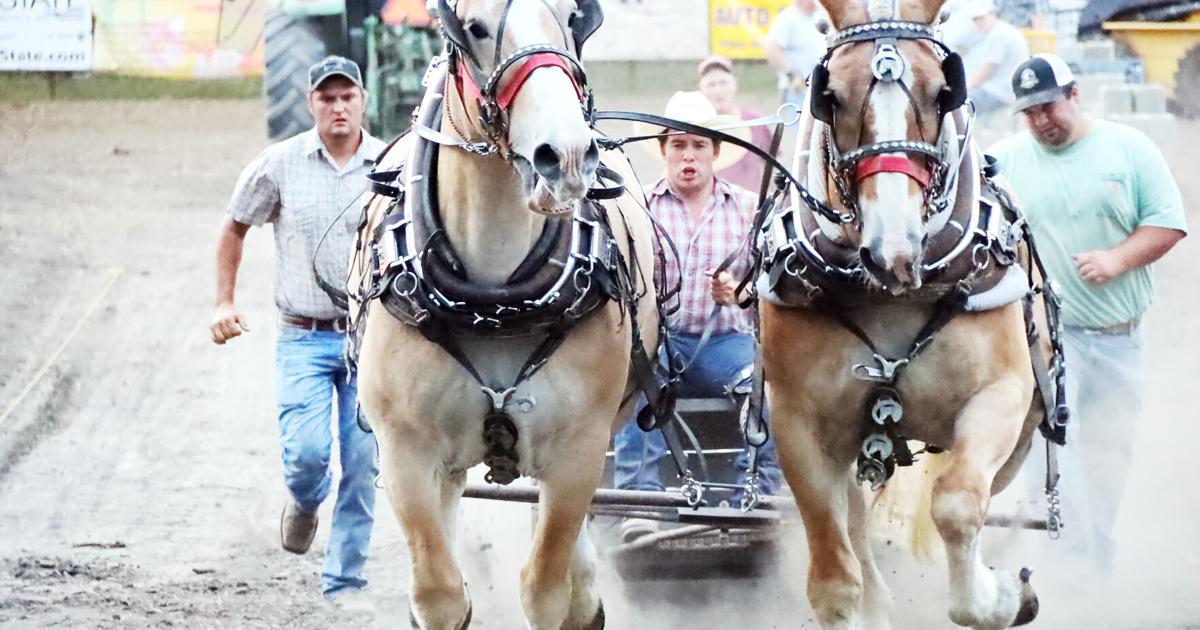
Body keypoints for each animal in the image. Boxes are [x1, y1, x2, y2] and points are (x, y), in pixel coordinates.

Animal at [345, 2, 657, 624]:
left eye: (571, 18)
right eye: (476, 27)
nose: (566, 155)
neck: (493, 305)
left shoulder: (578, 451)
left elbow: (545, 586)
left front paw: (573, 595)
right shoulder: (405, 453)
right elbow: (437, 591)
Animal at [758, 0, 1070, 624]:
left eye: (942, 90)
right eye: (832, 95)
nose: (893, 250)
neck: (892, 294)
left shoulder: (1000, 396)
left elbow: (957, 503)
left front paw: (1000, 596)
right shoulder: (798, 424)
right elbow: (834, 581)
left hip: (1021, 437)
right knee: (856, 526)